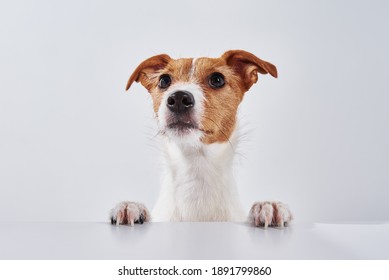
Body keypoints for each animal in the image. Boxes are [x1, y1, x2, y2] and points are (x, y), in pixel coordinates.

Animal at [109, 49, 292, 226]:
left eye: (217, 79)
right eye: (164, 80)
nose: (178, 98)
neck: (196, 167)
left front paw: (268, 207)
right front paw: (131, 207)